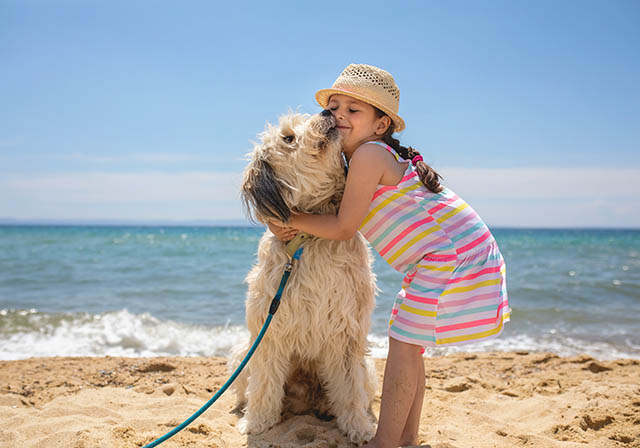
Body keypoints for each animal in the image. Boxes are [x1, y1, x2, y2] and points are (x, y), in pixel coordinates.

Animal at [230, 110, 378, 442]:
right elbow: (265, 382)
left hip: (370, 367)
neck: (310, 237)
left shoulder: (346, 332)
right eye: (287, 137)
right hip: (243, 352)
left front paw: (358, 427)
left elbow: (350, 388)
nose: (327, 112)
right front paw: (257, 422)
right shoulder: (270, 331)